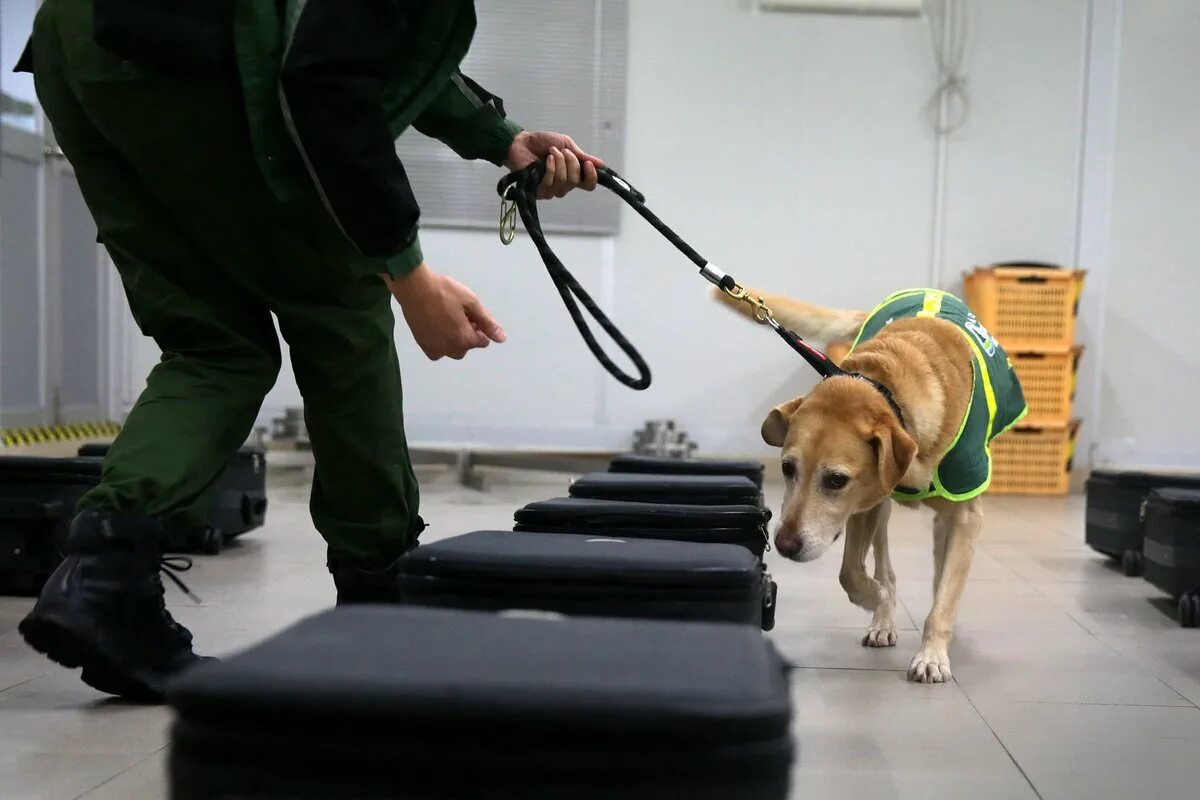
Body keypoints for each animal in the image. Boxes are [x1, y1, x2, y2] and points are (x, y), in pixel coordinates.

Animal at [715, 287, 1027, 681]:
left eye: (836, 480)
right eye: (787, 468)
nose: (784, 545)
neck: (890, 389)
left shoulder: (967, 514)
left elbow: (946, 593)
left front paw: (932, 654)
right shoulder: (864, 502)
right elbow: (851, 574)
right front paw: (880, 602)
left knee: (939, 564)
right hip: (880, 507)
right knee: (886, 568)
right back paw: (883, 617)